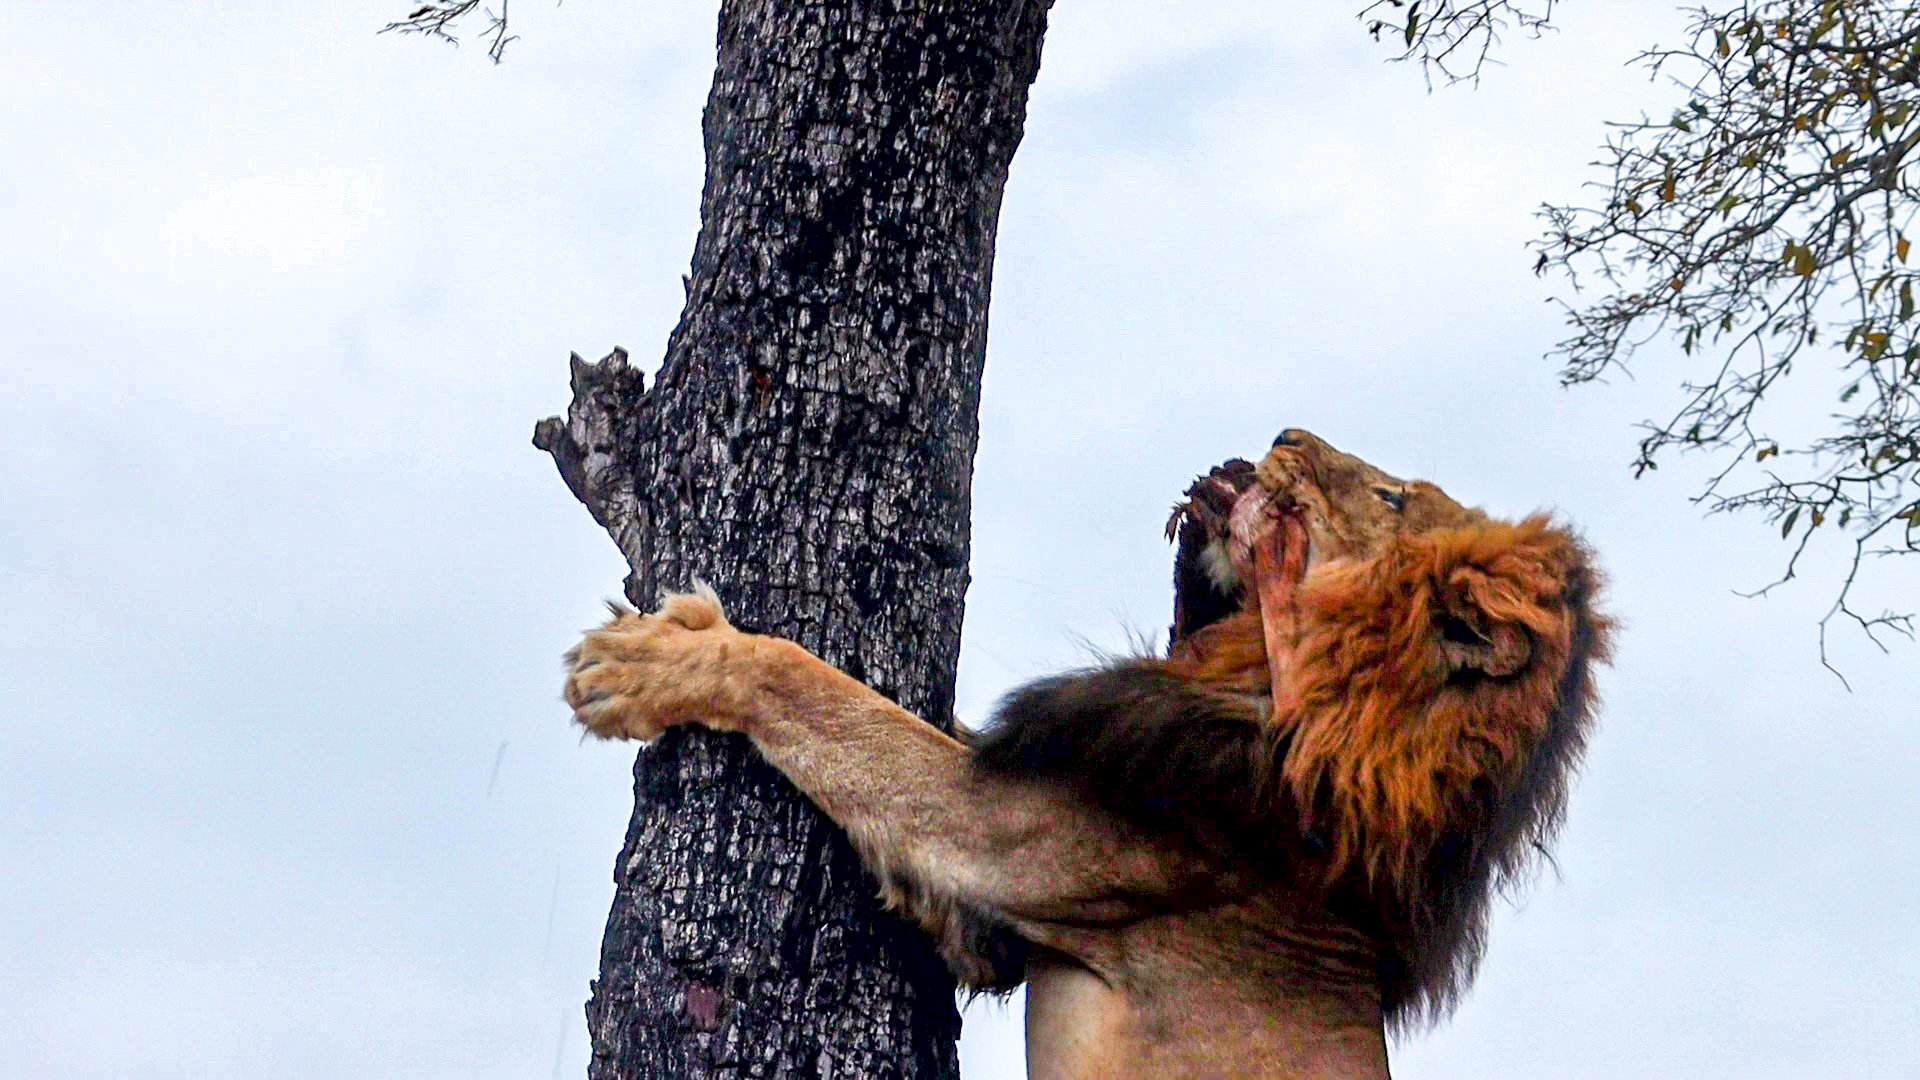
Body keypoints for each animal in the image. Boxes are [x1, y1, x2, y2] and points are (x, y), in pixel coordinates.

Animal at [564, 429, 1610, 1079]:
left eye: (1392, 495)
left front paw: (654, 662)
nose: (1282, 432)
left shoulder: (1005, 837)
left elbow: (822, 693)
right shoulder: (988, 928)